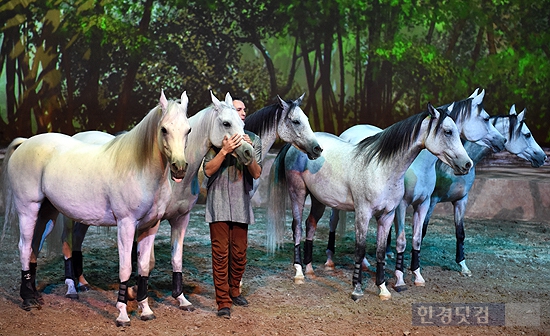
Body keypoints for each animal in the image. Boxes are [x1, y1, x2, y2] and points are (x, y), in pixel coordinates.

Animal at [2, 90, 192, 326]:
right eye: (164, 129)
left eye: (188, 130)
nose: (179, 168)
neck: (138, 168)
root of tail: (25, 142)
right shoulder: (126, 225)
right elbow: (126, 268)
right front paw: (122, 314)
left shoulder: (151, 226)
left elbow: (143, 266)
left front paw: (146, 310)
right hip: (28, 209)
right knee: (24, 247)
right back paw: (29, 299)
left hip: (46, 214)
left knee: (34, 248)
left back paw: (35, 294)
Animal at [268, 102, 474, 300]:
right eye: (448, 131)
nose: (467, 164)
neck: (381, 168)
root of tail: (297, 146)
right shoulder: (364, 213)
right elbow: (360, 249)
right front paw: (357, 290)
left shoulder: (388, 215)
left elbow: (382, 251)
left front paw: (383, 289)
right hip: (298, 193)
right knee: (297, 228)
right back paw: (299, 273)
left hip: (319, 200)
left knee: (310, 225)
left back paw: (310, 269)